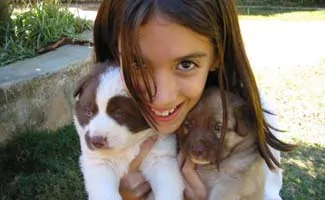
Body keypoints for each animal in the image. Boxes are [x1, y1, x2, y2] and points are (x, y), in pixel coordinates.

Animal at [74, 63, 185, 200]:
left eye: (119, 113)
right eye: (88, 112)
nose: (96, 141)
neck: (127, 147)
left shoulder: (159, 157)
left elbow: (168, 188)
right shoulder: (98, 162)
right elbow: (105, 191)